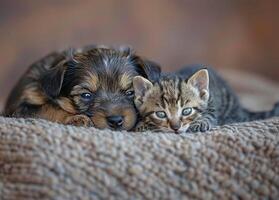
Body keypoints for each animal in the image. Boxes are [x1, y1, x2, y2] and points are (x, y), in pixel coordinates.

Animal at [4, 45, 161, 131]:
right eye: (86, 95)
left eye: (130, 92)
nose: (116, 121)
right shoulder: (22, 108)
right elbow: (50, 109)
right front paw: (76, 118)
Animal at [133, 65, 279, 134]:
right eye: (161, 114)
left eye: (186, 111)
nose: (175, 128)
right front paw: (142, 124)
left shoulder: (211, 101)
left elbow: (209, 115)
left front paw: (200, 123)